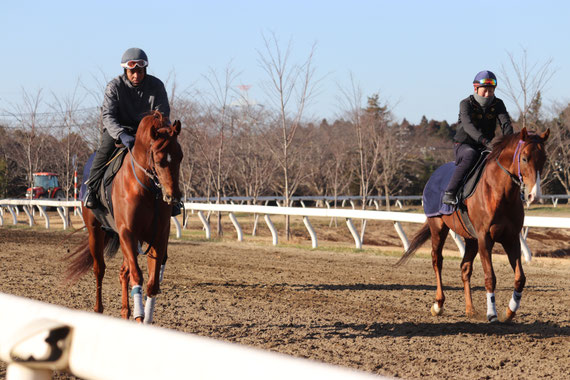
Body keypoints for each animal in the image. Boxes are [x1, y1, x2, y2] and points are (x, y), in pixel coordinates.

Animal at [66, 110, 182, 324]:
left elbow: (152, 284)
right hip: (96, 232)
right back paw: (99, 309)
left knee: (123, 272)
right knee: (99, 269)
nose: (173, 196)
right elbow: (137, 276)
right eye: (158, 158)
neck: (147, 190)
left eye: (180, 156)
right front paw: (139, 316)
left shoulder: (158, 236)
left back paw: (125, 311)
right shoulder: (127, 233)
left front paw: (144, 317)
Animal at [394, 128, 544, 324]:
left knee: (465, 268)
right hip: (438, 227)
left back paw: (470, 309)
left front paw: (510, 311)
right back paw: (438, 304)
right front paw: (492, 314)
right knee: (437, 260)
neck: (500, 193)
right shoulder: (484, 238)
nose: (535, 195)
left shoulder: (511, 238)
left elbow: (520, 278)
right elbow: (490, 277)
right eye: (525, 158)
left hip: (470, 238)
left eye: (544, 158)